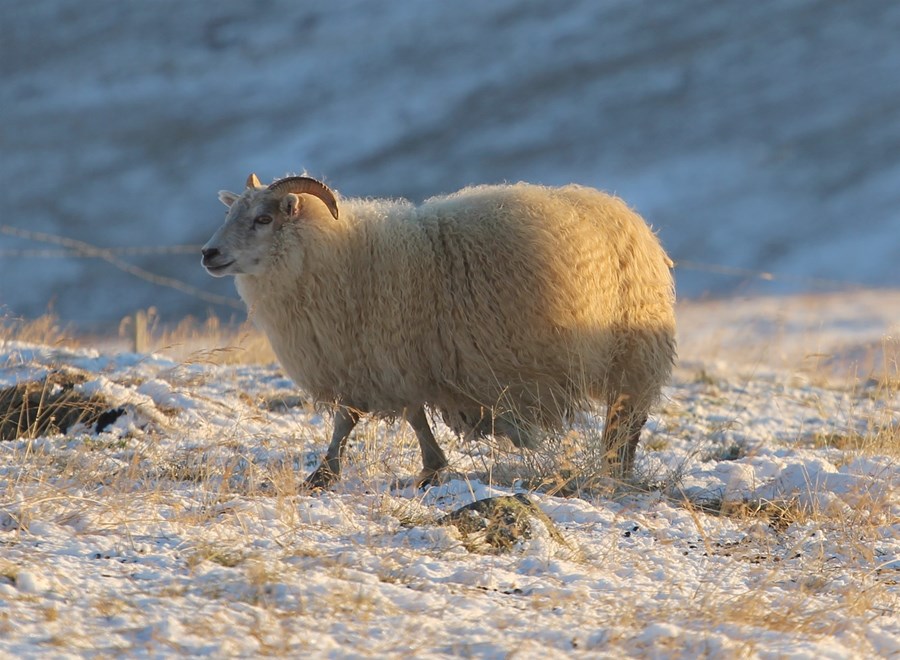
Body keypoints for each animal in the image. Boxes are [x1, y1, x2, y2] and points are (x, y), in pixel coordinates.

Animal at [200, 173, 672, 488]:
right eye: (230, 213)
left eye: (263, 219)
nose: (208, 253)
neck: (338, 256)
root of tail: (623, 210)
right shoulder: (369, 359)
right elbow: (367, 418)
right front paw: (333, 470)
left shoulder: (395, 354)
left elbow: (381, 417)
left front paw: (418, 468)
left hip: (634, 347)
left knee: (629, 415)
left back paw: (616, 469)